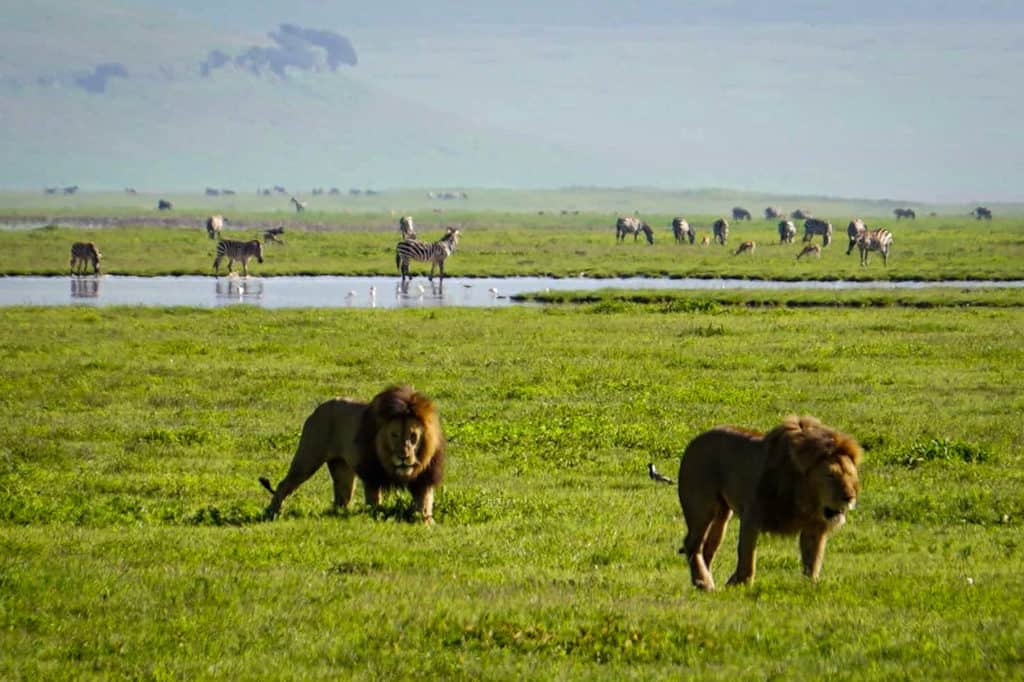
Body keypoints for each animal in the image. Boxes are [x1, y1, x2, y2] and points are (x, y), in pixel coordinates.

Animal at [260, 385, 444, 522]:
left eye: (413, 436)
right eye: (394, 435)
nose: (403, 457)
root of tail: (319, 409)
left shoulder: (424, 478)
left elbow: (425, 503)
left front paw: (427, 522)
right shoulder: (371, 474)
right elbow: (374, 501)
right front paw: (375, 516)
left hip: (342, 469)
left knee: (341, 498)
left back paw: (341, 515)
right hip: (307, 458)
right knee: (283, 485)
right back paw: (273, 512)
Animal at [679, 413, 864, 589]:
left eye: (850, 475)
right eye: (830, 475)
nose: (849, 497)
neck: (804, 497)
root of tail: (694, 441)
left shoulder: (814, 527)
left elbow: (813, 562)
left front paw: (809, 586)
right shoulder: (751, 516)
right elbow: (747, 557)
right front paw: (741, 584)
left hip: (723, 514)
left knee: (708, 547)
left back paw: (705, 580)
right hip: (702, 508)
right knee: (692, 544)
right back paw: (703, 583)